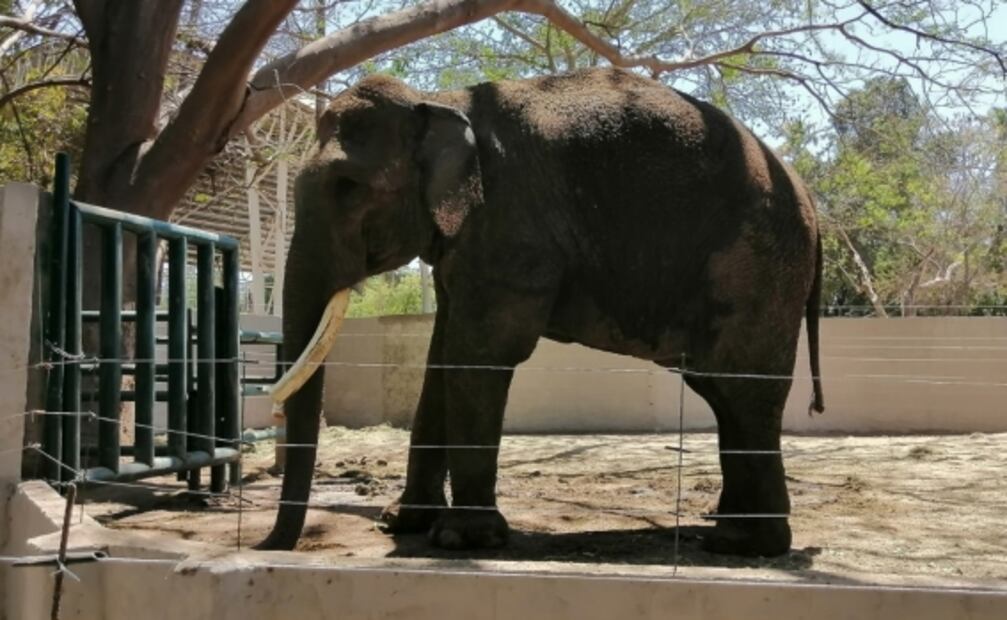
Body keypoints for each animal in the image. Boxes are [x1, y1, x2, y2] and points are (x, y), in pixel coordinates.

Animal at [259, 67, 824, 558]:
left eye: (348, 187)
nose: (268, 545)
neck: (437, 101)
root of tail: (812, 205)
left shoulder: (509, 227)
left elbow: (479, 354)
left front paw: (462, 540)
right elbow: (442, 356)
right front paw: (403, 523)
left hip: (754, 268)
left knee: (742, 393)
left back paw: (744, 545)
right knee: (726, 398)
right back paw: (722, 534)